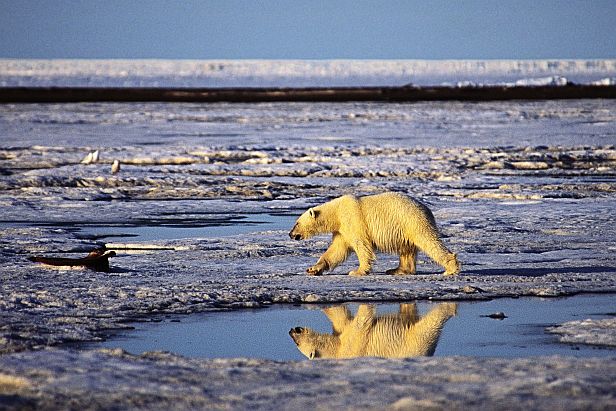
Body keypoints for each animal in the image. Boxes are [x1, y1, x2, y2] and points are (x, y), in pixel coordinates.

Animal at [288, 192, 458, 276]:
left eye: (296, 223)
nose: (290, 234)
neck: (336, 212)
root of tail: (427, 209)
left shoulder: (353, 220)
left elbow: (361, 246)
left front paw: (357, 271)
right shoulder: (342, 230)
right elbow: (336, 250)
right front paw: (313, 269)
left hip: (412, 221)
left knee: (428, 241)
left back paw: (450, 268)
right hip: (405, 228)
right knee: (406, 250)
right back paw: (398, 270)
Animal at [288, 302, 458, 360]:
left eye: (297, 343)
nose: (291, 330)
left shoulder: (354, 345)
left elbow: (360, 324)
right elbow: (342, 320)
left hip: (414, 341)